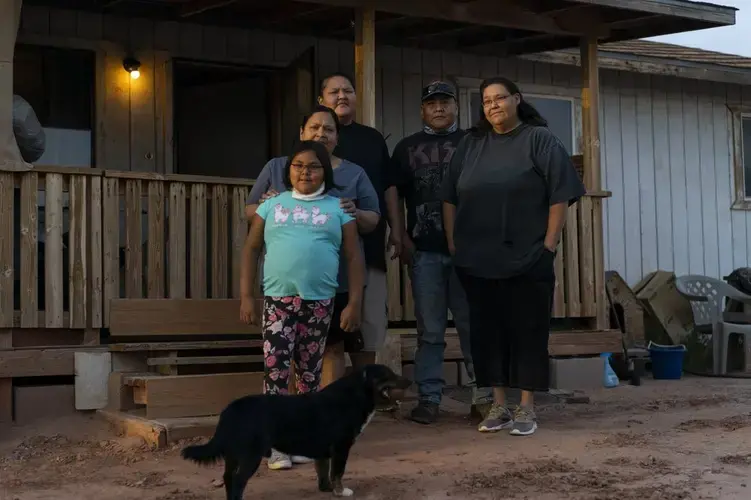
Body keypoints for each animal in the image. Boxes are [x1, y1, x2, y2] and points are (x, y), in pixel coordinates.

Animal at [184, 364, 414, 500]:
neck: (356, 393)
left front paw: (327, 489)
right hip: (251, 454)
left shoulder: (324, 451)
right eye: (388, 375)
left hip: (233, 454)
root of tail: (231, 409)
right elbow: (338, 472)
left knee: (228, 477)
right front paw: (341, 491)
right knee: (239, 480)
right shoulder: (341, 448)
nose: (410, 381)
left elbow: (324, 471)